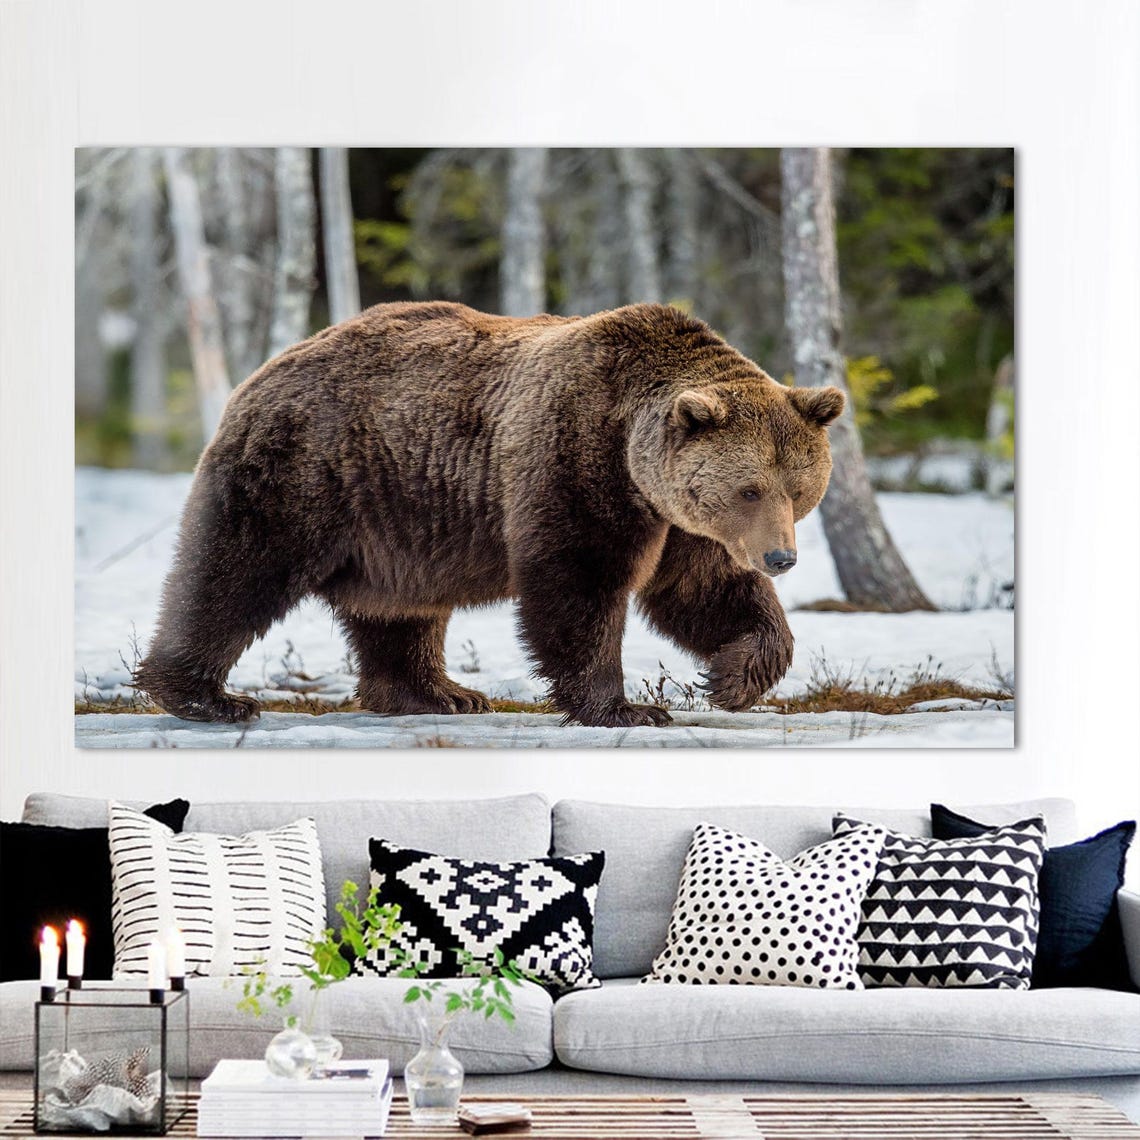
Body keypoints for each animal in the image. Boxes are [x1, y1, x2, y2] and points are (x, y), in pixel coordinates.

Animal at [134, 301, 844, 728]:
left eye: (798, 488)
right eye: (750, 488)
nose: (781, 557)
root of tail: (264, 370)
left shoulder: (679, 521)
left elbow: (704, 590)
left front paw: (731, 678)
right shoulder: (576, 461)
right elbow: (579, 583)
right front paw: (624, 707)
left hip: (397, 519)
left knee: (398, 610)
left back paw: (439, 693)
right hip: (306, 474)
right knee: (236, 573)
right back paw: (206, 696)